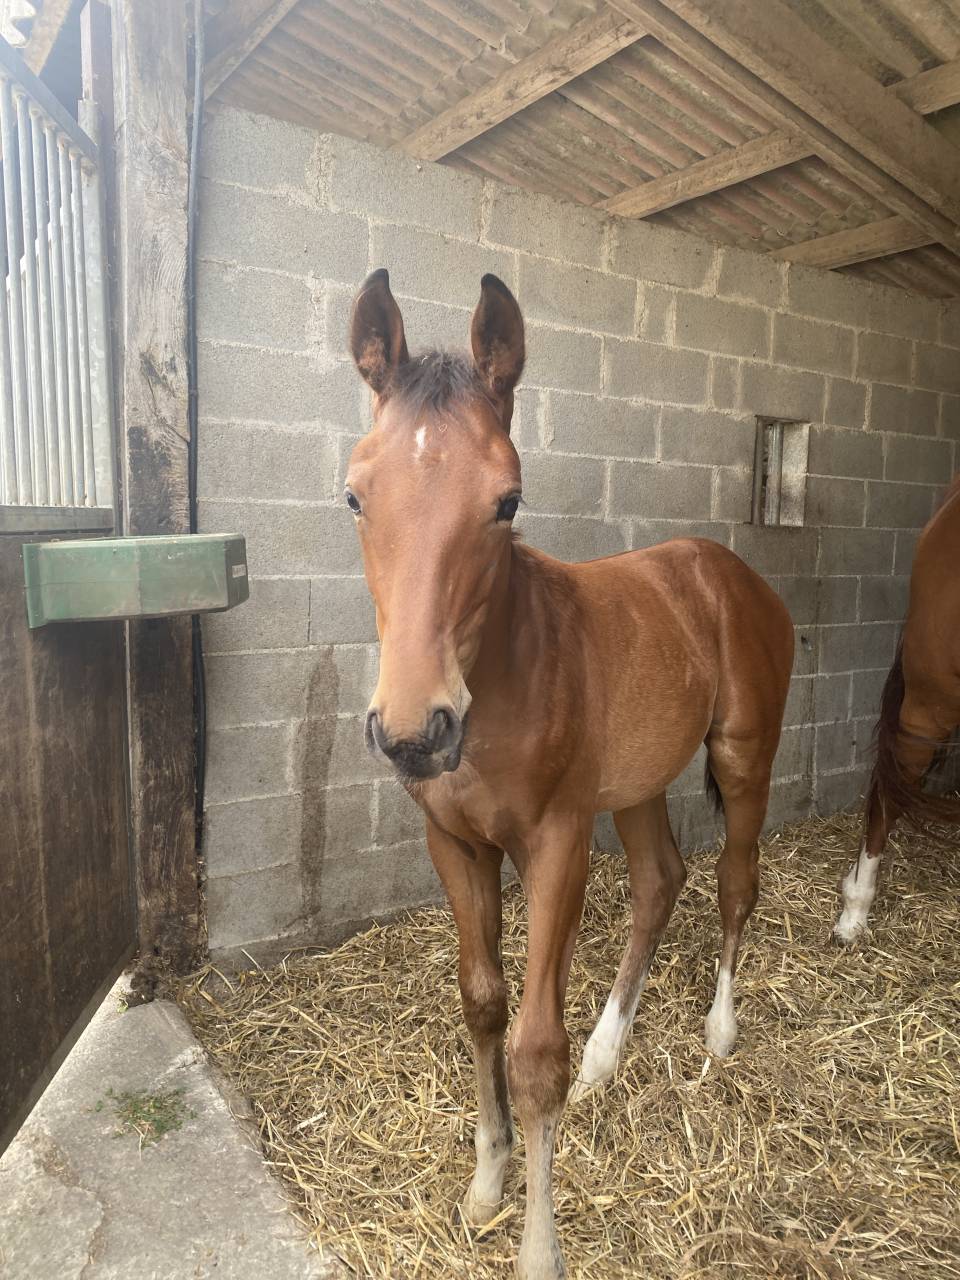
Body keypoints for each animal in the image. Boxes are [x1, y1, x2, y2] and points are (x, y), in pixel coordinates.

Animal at [345, 268, 795, 1280]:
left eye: (507, 501)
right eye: (353, 497)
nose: (415, 731)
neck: (505, 673)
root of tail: (729, 572)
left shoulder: (557, 843)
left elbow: (533, 1050)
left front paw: (539, 1246)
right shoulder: (454, 842)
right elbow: (483, 1004)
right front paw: (487, 1182)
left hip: (743, 756)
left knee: (734, 884)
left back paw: (719, 1033)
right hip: (635, 787)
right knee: (661, 881)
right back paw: (606, 1057)